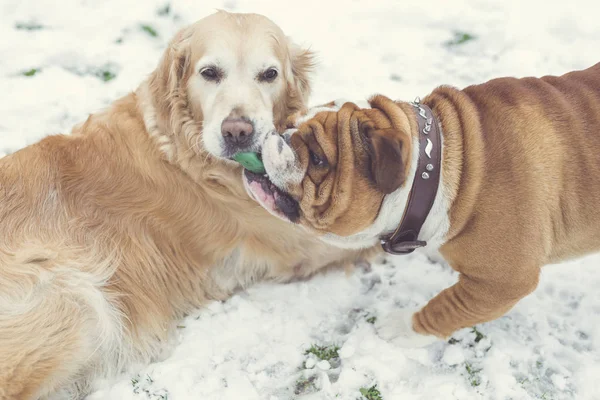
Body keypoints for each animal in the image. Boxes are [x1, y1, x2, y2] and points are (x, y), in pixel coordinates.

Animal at [0, 12, 370, 400]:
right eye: (209, 72)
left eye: (269, 74)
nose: (238, 132)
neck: (183, 149)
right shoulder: (297, 239)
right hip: (77, 300)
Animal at [243, 62, 600, 346]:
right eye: (288, 122)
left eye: (318, 159)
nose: (277, 136)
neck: (439, 169)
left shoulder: (503, 282)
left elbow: (449, 306)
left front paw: (401, 328)